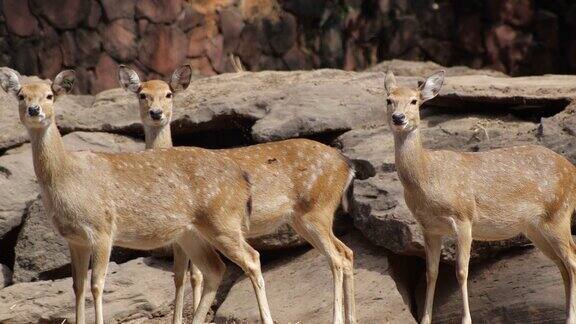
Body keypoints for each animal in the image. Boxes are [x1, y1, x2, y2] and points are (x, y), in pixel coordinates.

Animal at [0, 67, 280, 324]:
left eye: (49, 95)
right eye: (21, 95)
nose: (34, 110)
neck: (66, 177)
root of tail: (242, 179)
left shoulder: (102, 229)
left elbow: (96, 285)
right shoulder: (75, 238)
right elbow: (77, 287)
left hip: (222, 220)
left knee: (252, 258)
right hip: (191, 233)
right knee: (214, 269)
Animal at [117, 64, 358, 324]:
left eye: (168, 94)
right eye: (142, 94)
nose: (156, 113)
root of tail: (347, 165)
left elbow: (194, 275)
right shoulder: (182, 237)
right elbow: (181, 275)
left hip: (316, 210)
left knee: (336, 257)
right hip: (303, 218)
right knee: (346, 252)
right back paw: (352, 317)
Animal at [382, 71, 576, 324]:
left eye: (415, 101)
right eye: (389, 100)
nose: (398, 117)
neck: (428, 177)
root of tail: (572, 171)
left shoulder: (464, 217)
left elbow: (461, 271)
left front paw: (466, 319)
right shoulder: (429, 227)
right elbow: (431, 272)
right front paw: (424, 319)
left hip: (558, 213)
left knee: (572, 260)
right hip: (536, 228)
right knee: (562, 264)